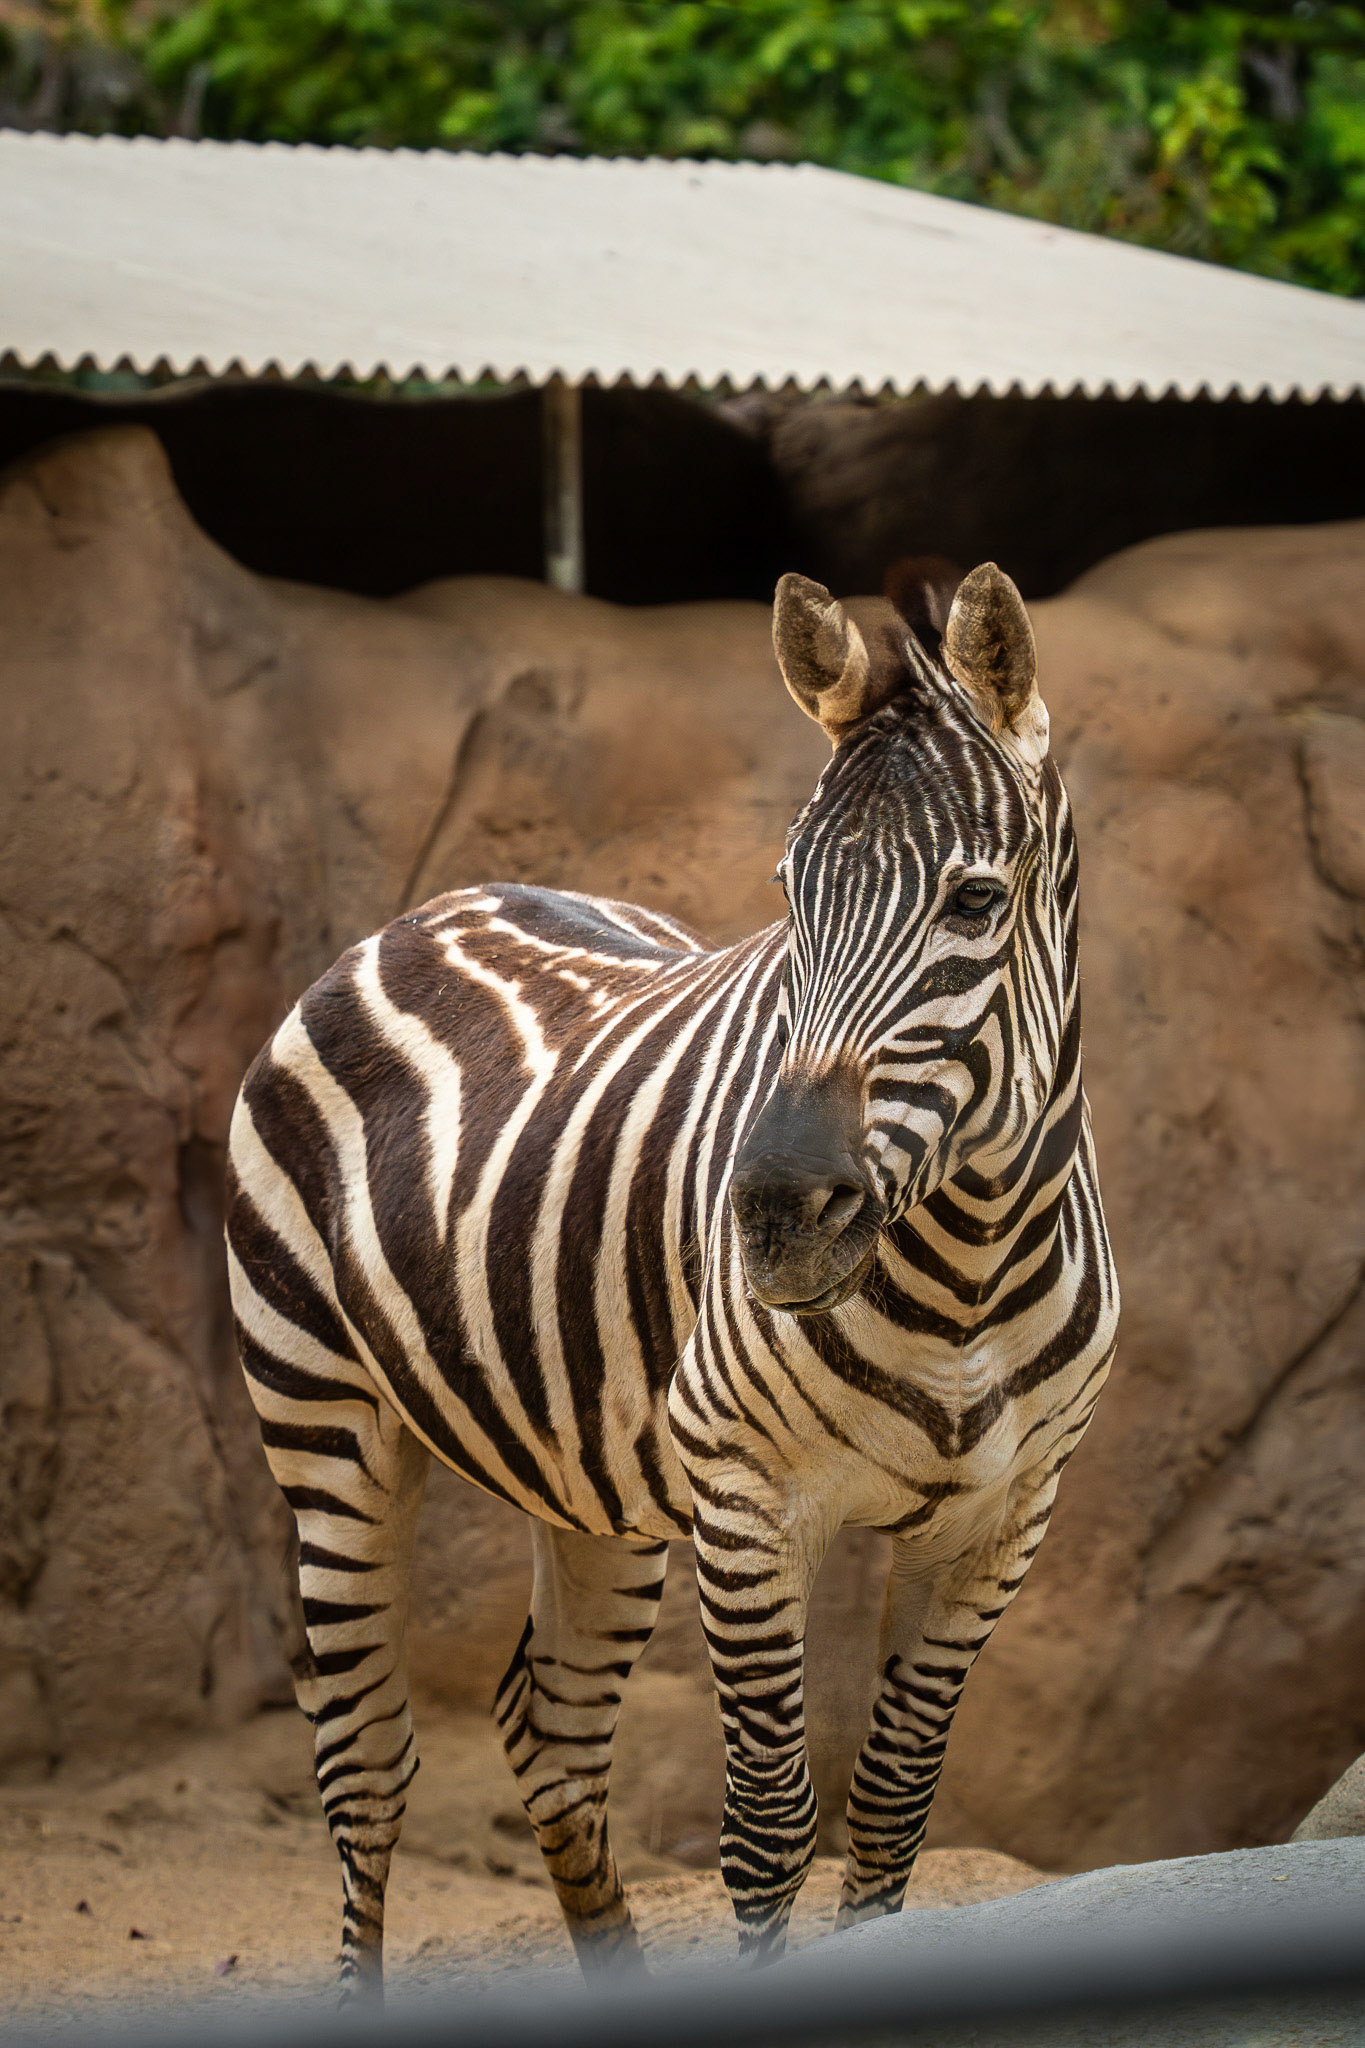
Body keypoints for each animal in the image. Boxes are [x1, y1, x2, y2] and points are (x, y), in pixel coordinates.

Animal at [225, 559, 1118, 1997]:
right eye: (789, 893)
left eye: (976, 903)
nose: (775, 1215)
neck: (967, 1273)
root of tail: (426, 910)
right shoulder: (748, 1494)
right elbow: (769, 1826)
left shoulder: (1002, 1517)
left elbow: (890, 1812)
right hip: (324, 1424)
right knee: (364, 1761)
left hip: (596, 1477)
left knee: (545, 1723)